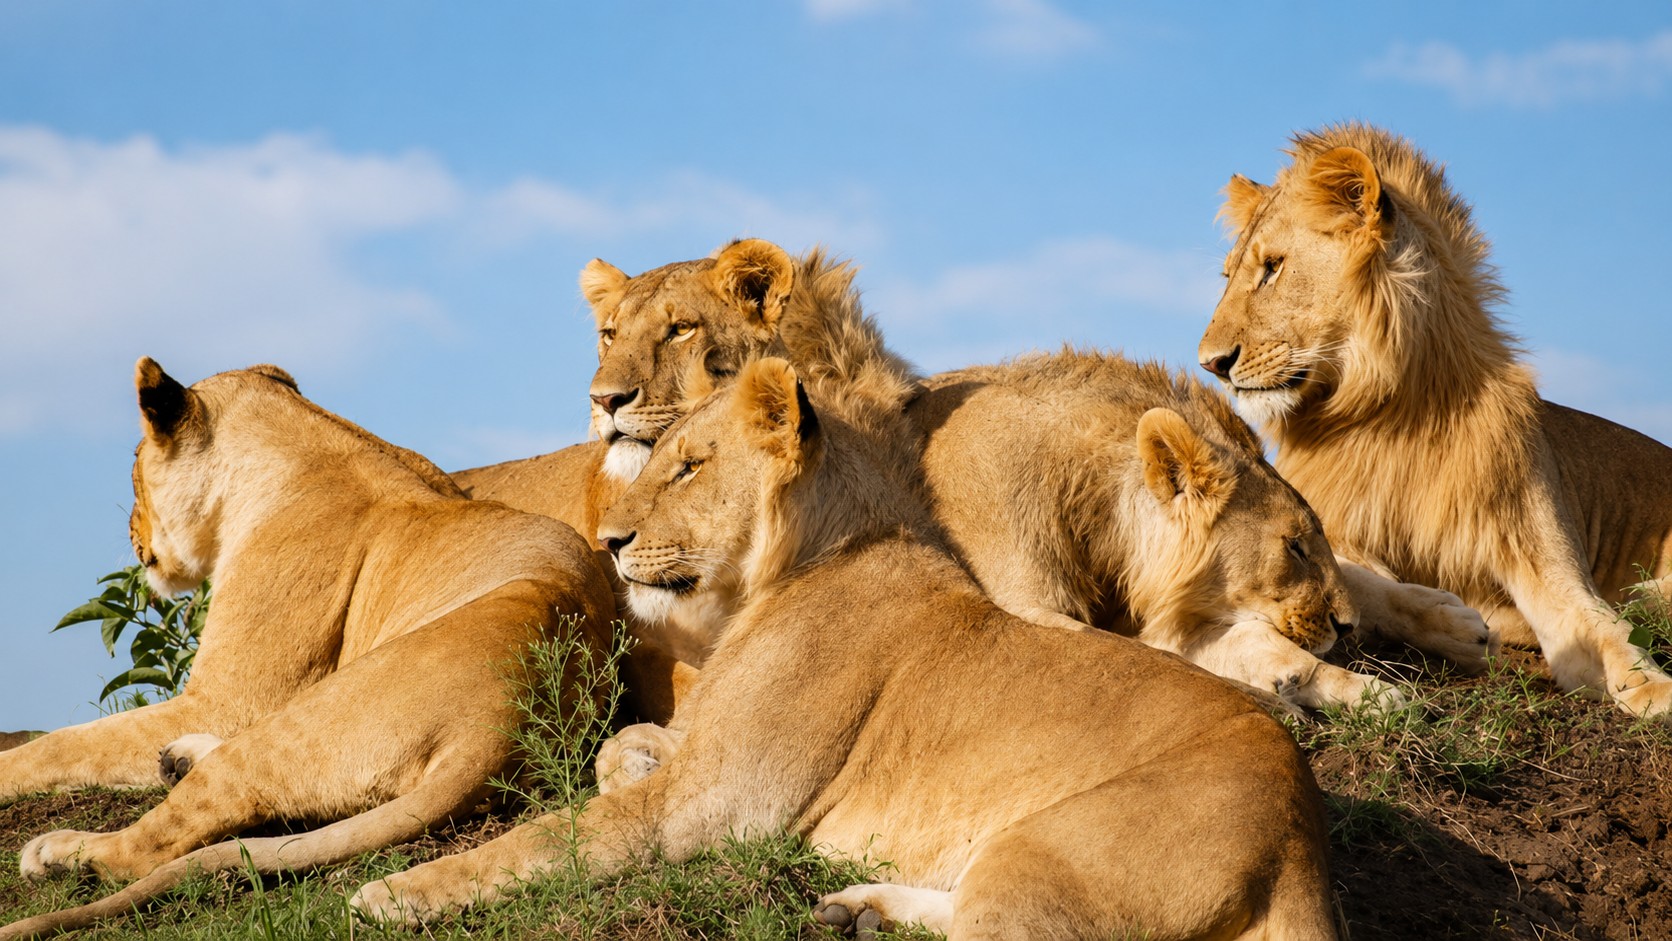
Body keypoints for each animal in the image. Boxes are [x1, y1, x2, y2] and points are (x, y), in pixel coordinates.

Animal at [0, 359, 615, 940]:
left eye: (132, 468)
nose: (130, 529)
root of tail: (504, 723)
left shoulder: (224, 700)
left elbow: (58, 746)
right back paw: (177, 761)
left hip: (307, 719)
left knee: (154, 841)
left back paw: (60, 853)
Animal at [350, 357, 1336, 941]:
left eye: (690, 466)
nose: (611, 541)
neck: (777, 579)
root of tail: (1299, 840)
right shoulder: (706, 750)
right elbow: (621, 751)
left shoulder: (712, 806)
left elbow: (542, 839)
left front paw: (392, 893)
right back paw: (855, 905)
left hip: (1044, 857)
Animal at [1198, 122, 1672, 718]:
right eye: (1228, 275)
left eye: (1273, 268)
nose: (1211, 363)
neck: (1389, 415)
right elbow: (1355, 579)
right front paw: (1453, 621)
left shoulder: (1540, 553)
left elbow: (1601, 623)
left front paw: (1649, 682)